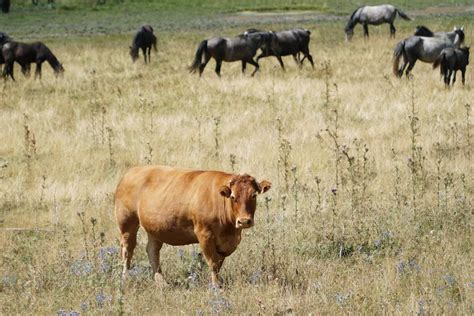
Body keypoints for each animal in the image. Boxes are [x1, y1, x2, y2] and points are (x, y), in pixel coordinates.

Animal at [113, 165, 272, 286]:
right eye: (233, 197)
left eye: (253, 195)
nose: (244, 221)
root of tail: (132, 171)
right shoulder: (204, 234)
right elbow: (213, 262)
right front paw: (216, 286)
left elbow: (219, 262)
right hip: (127, 223)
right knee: (127, 250)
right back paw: (125, 278)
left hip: (154, 228)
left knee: (152, 251)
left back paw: (161, 282)